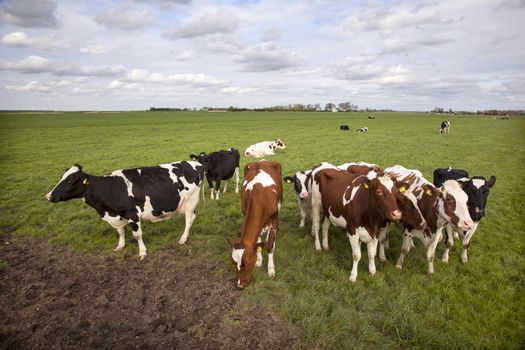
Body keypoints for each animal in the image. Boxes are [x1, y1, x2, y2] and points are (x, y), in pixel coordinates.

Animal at [45, 162, 205, 260]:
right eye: (61, 177)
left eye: (71, 180)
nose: (49, 196)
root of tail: (195, 164)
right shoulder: (118, 216)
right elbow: (120, 232)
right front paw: (120, 246)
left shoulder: (133, 215)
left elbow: (137, 235)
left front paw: (142, 253)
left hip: (190, 202)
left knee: (189, 220)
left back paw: (183, 239)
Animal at [226, 160, 282, 288]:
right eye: (233, 262)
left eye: (246, 262)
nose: (239, 284)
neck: (259, 197)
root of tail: (262, 161)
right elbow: (258, 243)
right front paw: (259, 261)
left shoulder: (275, 220)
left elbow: (270, 246)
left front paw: (271, 270)